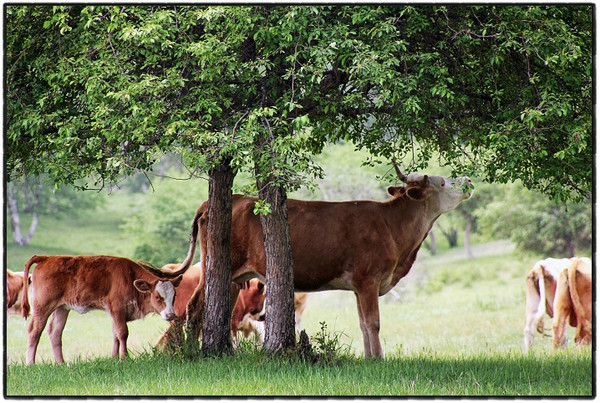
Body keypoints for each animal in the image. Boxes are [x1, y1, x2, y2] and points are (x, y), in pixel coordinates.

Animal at [21, 256, 182, 366]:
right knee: (34, 330)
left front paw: (114, 357)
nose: (170, 314)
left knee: (55, 331)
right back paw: (30, 363)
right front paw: (124, 357)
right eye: (157, 296)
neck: (129, 276)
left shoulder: (116, 313)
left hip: (62, 308)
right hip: (43, 306)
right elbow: (123, 333)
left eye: (174, 296)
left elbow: (115, 334)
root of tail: (47, 258)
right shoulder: (117, 308)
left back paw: (61, 363)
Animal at [162, 172, 472, 358]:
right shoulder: (368, 279)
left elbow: (362, 323)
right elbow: (373, 322)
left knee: (221, 310)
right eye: (442, 182)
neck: (392, 226)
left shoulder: (360, 286)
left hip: (235, 276)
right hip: (217, 264)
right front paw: (379, 359)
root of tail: (231, 198)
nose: (469, 180)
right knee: (196, 307)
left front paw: (369, 358)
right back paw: (192, 351)